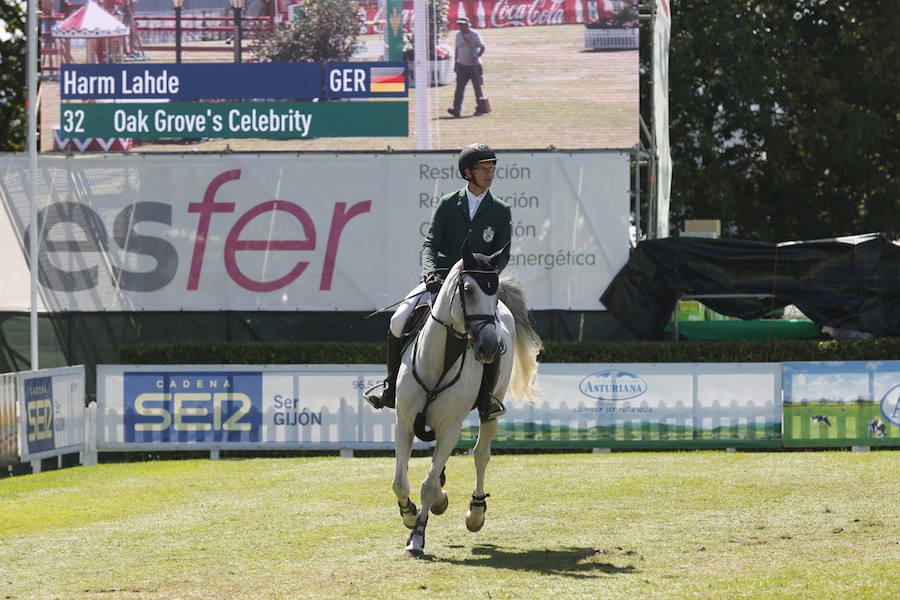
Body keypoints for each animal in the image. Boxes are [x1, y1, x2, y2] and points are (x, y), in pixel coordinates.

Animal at [390, 241, 536, 560]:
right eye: (468, 289)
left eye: (495, 291)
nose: (489, 348)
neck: (439, 360)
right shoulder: (404, 421)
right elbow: (401, 482)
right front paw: (409, 514)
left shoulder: (450, 427)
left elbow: (428, 484)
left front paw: (416, 538)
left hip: (491, 410)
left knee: (481, 456)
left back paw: (476, 512)